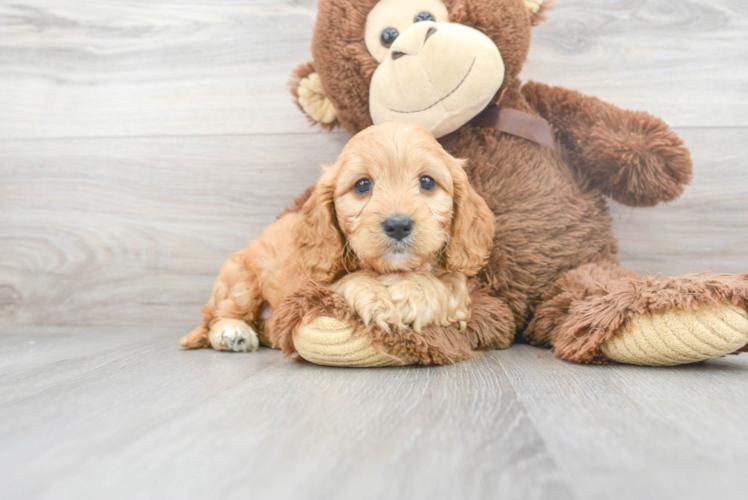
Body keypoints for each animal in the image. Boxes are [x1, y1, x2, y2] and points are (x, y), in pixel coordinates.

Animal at [180, 122, 496, 354]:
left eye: (427, 182)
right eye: (362, 185)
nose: (398, 225)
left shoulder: (457, 283)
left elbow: (444, 287)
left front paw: (406, 292)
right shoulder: (309, 286)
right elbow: (348, 281)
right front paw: (378, 299)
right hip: (241, 279)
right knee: (216, 318)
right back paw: (233, 333)